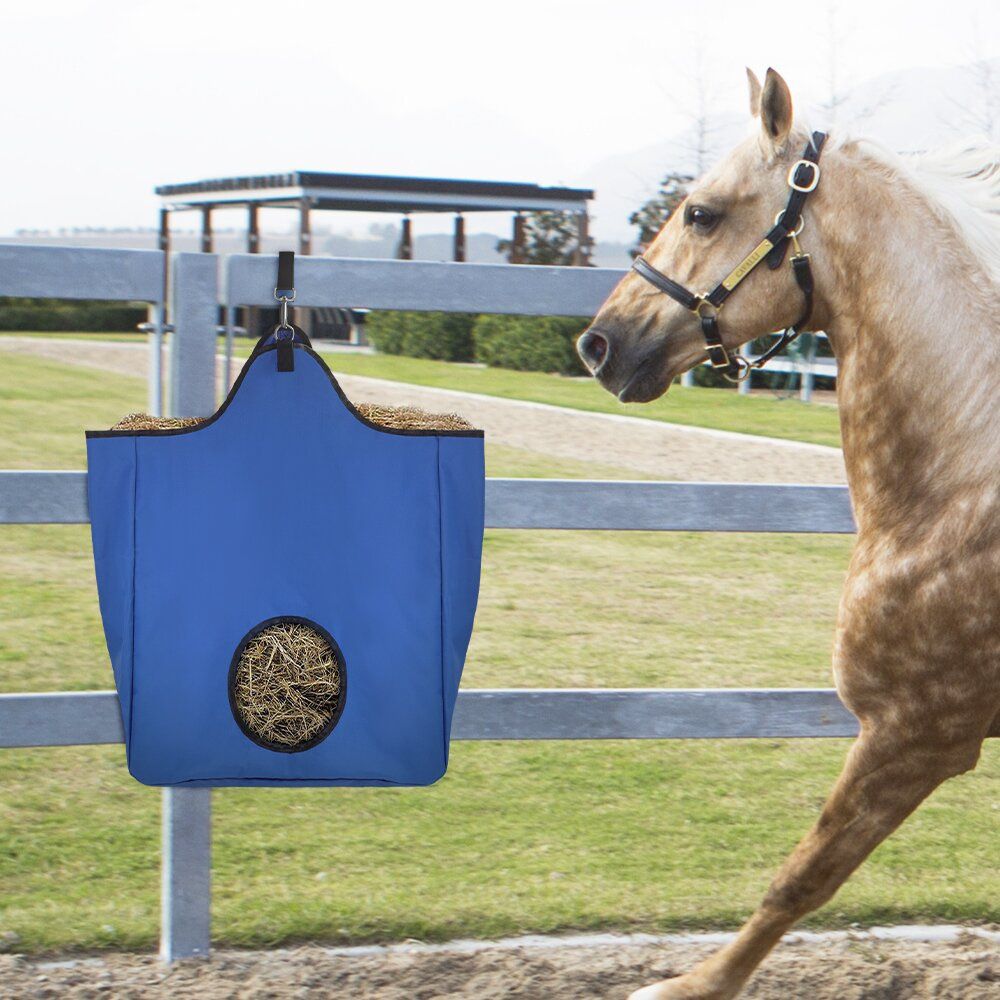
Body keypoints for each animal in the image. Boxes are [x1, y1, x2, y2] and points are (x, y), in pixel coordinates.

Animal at [577, 68, 1000, 1000]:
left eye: (701, 212)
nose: (599, 343)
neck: (962, 493)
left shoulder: (915, 734)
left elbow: (802, 877)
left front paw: (687, 987)